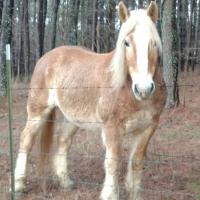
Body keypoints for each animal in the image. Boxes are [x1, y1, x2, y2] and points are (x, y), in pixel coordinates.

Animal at [14, 1, 166, 200]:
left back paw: (65, 182)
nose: (143, 89)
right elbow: (113, 162)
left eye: (153, 43)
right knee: (26, 140)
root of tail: (45, 57)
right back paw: (19, 185)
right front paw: (109, 195)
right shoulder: (111, 128)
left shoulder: (148, 128)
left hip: (73, 118)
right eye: (126, 43)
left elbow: (136, 162)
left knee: (63, 141)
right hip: (38, 112)